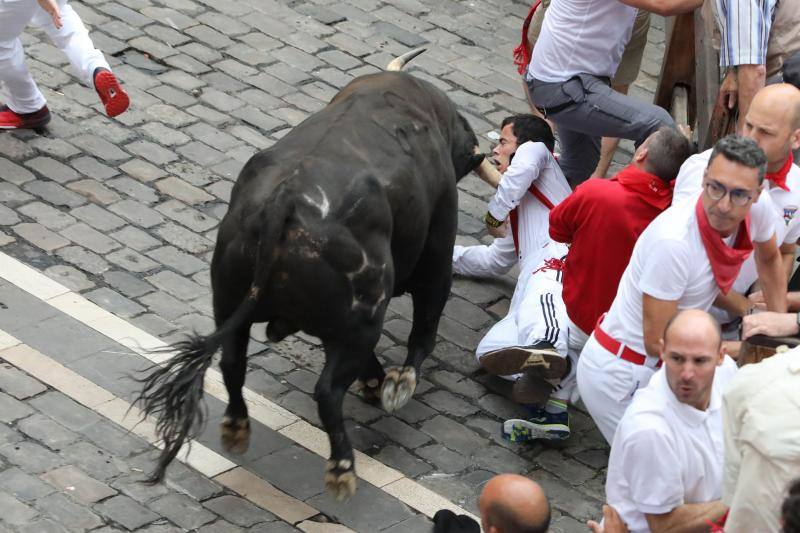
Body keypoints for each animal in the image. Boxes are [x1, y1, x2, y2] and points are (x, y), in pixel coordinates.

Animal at [136, 59, 482, 498]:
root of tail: (287, 198)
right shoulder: (437, 254)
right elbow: (425, 329)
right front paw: (397, 384)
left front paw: (378, 383)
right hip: (367, 311)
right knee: (328, 392)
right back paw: (342, 468)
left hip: (228, 300)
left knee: (233, 363)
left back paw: (237, 427)